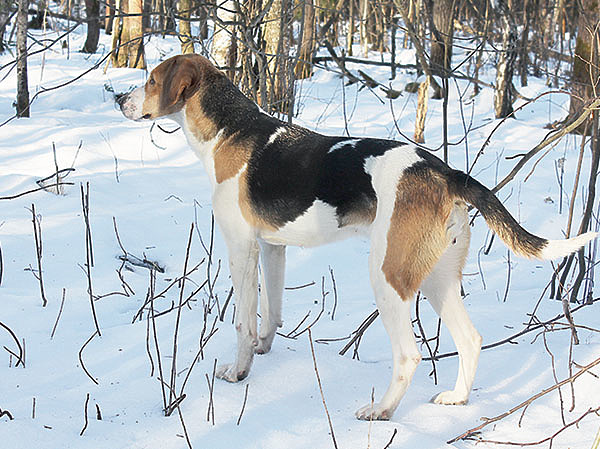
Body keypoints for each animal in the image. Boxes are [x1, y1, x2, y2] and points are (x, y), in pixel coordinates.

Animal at [117, 53, 596, 420]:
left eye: (151, 79)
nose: (120, 98)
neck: (228, 129)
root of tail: (443, 172)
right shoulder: (273, 247)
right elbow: (271, 312)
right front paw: (264, 348)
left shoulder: (241, 247)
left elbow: (243, 320)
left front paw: (239, 372)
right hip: (437, 277)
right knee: (470, 340)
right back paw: (456, 398)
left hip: (388, 275)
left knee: (409, 355)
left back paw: (381, 410)